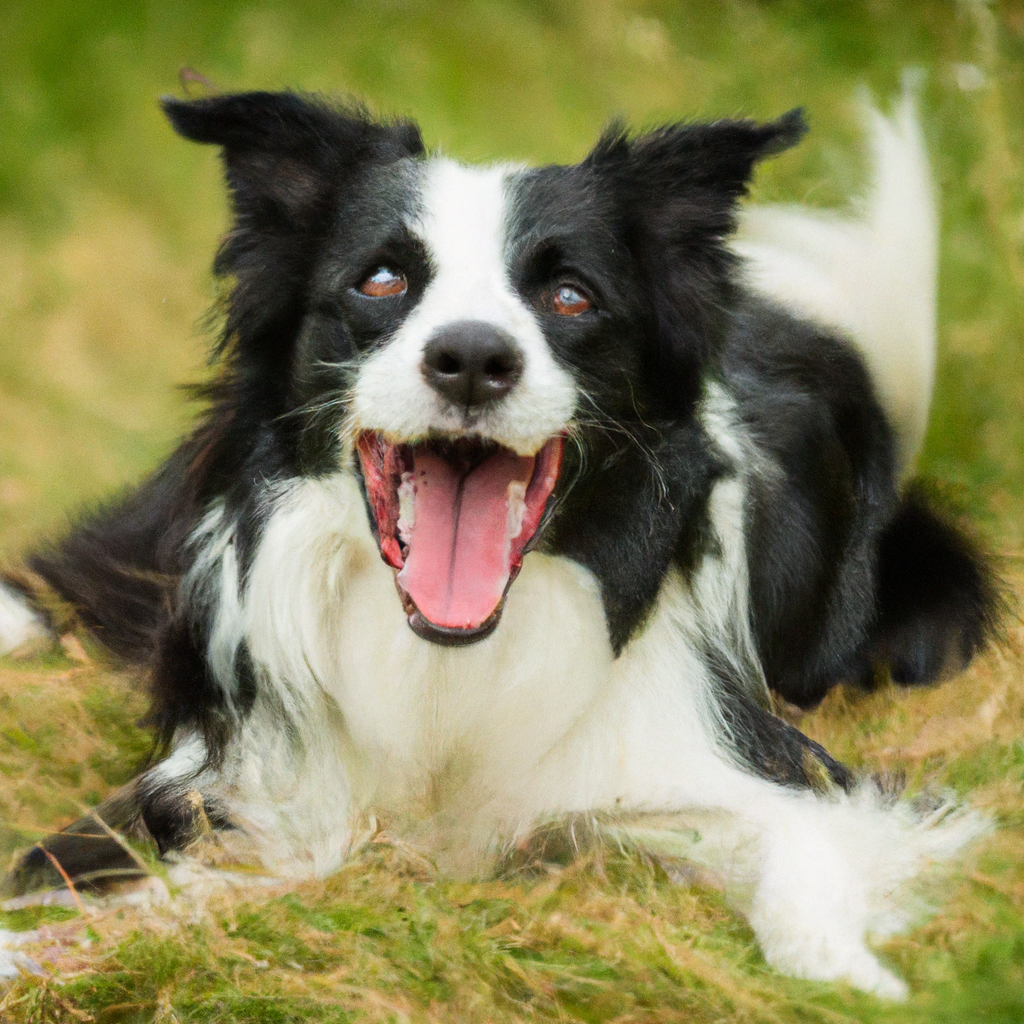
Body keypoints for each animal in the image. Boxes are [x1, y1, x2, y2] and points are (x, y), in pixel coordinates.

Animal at [0, 83, 995, 995]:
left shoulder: (753, 766)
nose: (473, 358)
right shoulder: (214, 781)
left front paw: (852, 978)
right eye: (382, 280)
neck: (448, 662)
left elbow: (808, 857)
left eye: (570, 295)